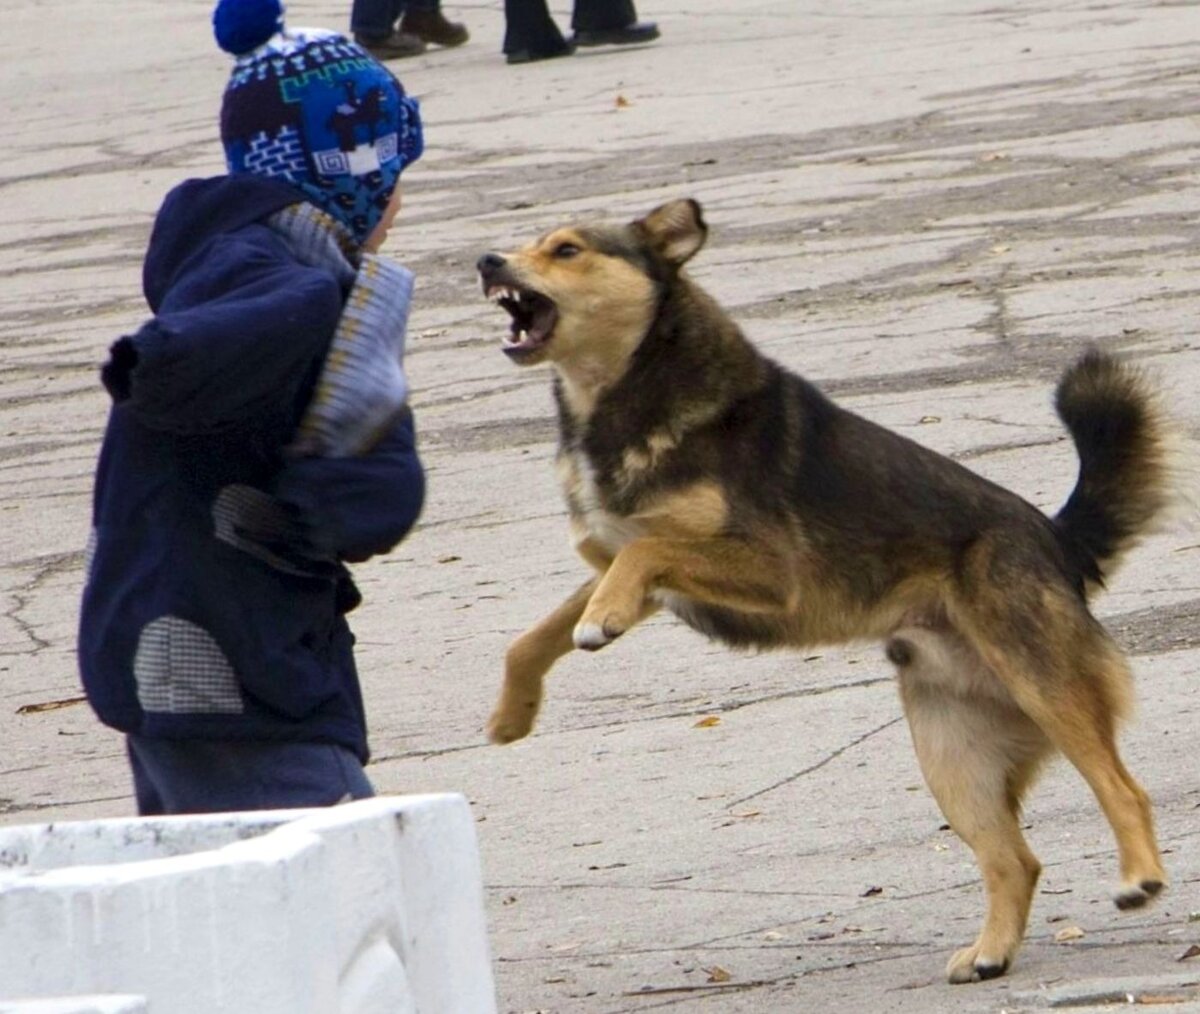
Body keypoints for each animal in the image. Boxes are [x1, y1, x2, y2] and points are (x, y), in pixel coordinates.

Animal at [475, 195, 1171, 979]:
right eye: (529, 243)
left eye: (566, 250)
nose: (487, 262)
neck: (625, 390)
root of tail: (1057, 540)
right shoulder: (625, 566)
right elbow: (532, 637)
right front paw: (513, 713)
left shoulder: (767, 570)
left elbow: (644, 553)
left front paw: (599, 625)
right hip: (952, 751)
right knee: (1015, 861)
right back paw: (990, 952)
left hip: (1045, 686)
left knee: (1123, 788)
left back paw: (1139, 877)